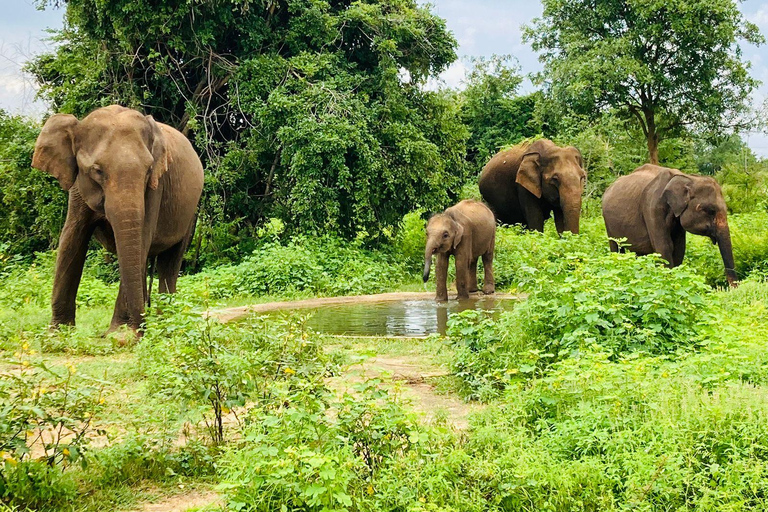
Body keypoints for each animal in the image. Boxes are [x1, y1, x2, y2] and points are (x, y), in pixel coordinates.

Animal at [32, 106, 204, 334]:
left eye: (149, 170)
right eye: (97, 171)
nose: (141, 330)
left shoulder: (156, 187)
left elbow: (141, 240)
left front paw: (119, 335)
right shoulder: (78, 186)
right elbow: (72, 239)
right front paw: (58, 333)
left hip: (190, 212)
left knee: (170, 261)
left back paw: (166, 322)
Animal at [600, 164, 736, 286]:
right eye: (710, 211)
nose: (732, 288)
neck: (688, 178)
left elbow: (679, 248)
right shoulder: (652, 208)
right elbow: (664, 247)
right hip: (608, 222)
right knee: (616, 247)